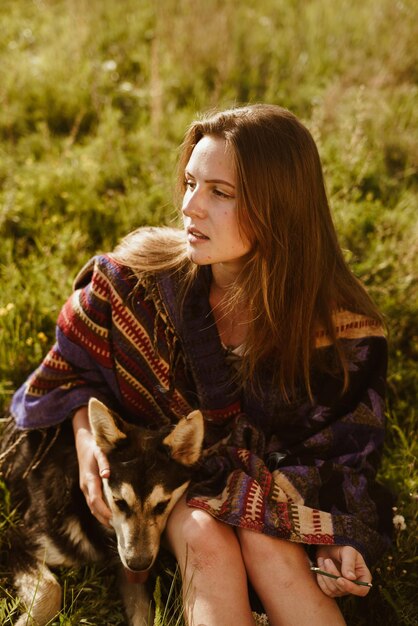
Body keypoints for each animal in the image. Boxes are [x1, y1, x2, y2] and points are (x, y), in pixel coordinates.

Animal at [0, 398, 203, 620]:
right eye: (119, 501)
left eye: (162, 505)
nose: (138, 564)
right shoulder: (15, 540)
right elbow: (50, 590)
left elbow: (144, 613)